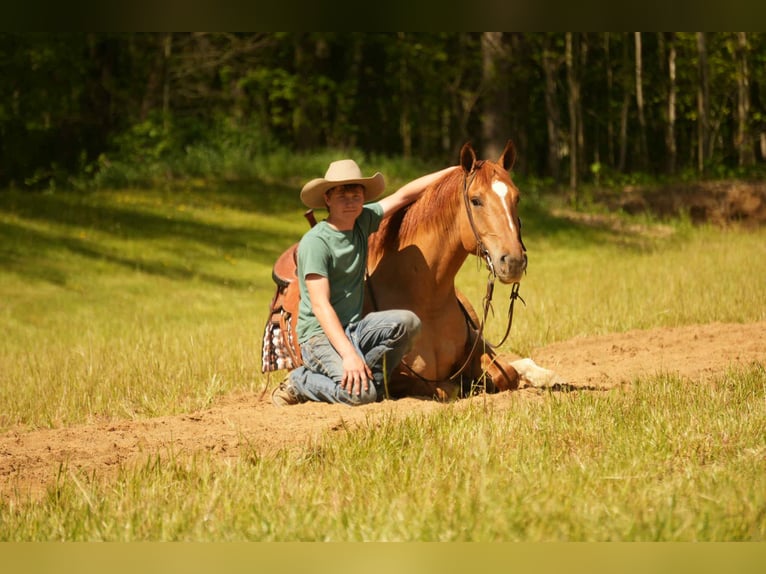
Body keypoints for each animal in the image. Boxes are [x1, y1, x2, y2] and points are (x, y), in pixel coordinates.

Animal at [365, 140, 564, 400]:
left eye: (517, 198)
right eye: (475, 200)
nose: (513, 262)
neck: (425, 298)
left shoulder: (478, 349)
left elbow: (507, 374)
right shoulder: (394, 378)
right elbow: (444, 388)